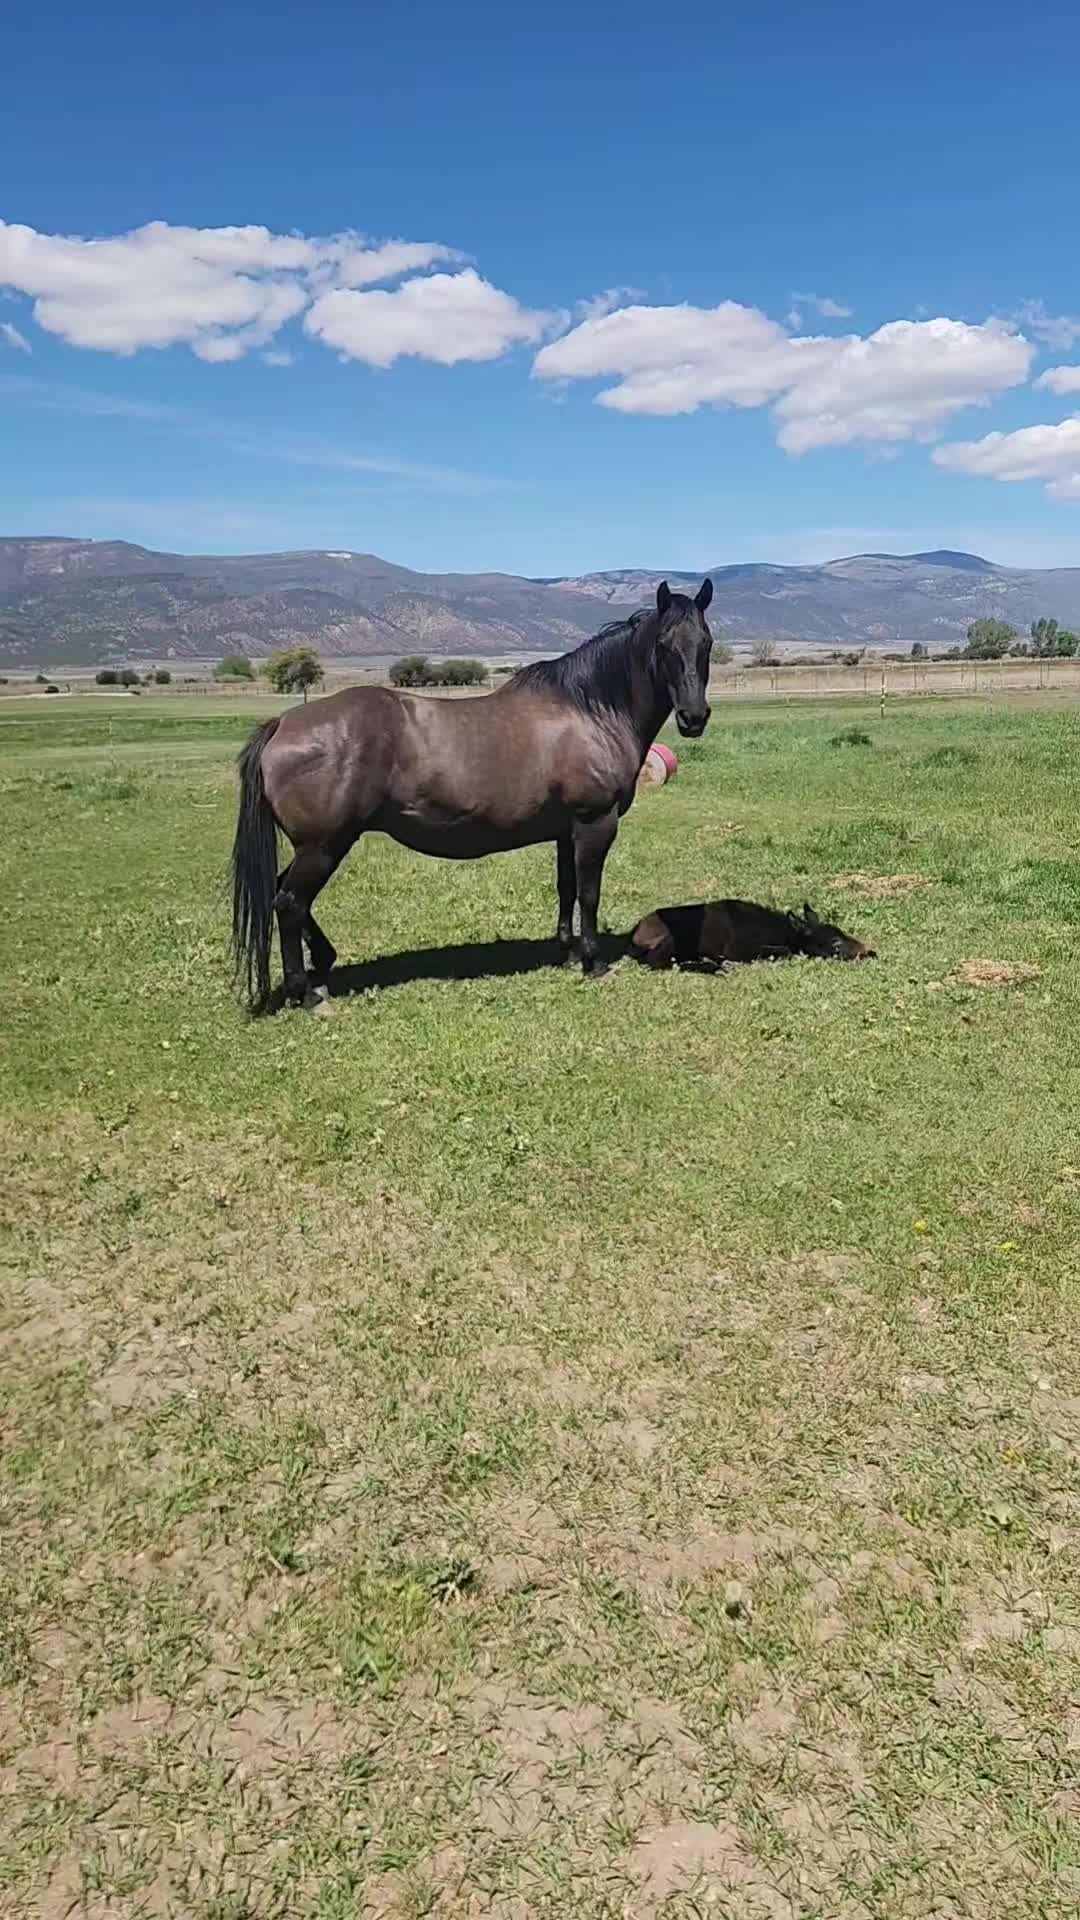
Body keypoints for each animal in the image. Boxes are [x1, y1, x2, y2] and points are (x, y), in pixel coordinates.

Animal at [231, 579, 715, 1011]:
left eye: (707, 643)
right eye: (664, 645)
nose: (694, 717)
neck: (590, 711)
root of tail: (282, 724)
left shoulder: (566, 830)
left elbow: (567, 889)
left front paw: (568, 951)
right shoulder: (596, 823)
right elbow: (590, 893)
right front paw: (594, 962)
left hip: (316, 846)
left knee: (285, 895)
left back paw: (322, 963)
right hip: (325, 845)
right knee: (289, 903)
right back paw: (306, 994)